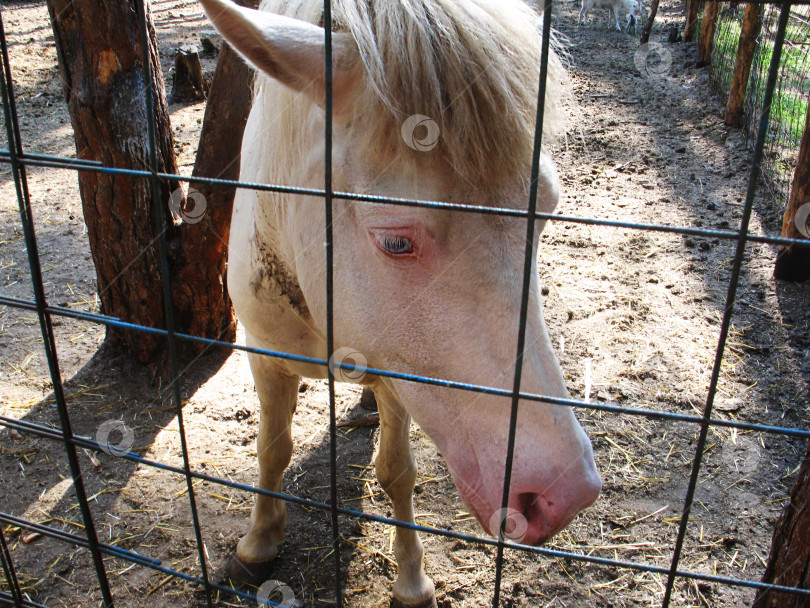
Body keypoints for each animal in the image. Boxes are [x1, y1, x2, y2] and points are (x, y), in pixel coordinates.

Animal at [198, 2, 596, 604]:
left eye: (546, 209)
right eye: (396, 242)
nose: (561, 493)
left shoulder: (396, 372)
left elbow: (397, 473)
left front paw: (410, 579)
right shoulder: (263, 352)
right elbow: (272, 449)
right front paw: (256, 546)